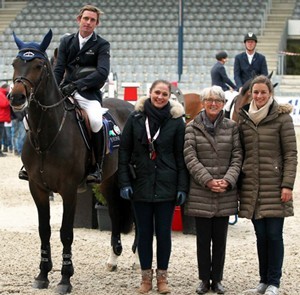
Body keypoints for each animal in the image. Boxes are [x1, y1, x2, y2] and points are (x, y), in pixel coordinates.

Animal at [8, 30, 135, 294]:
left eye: (38, 65)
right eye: (14, 63)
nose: (16, 97)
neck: (47, 133)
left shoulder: (69, 190)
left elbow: (66, 233)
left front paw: (65, 278)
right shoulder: (37, 188)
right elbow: (44, 230)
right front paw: (42, 274)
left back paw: (140, 260)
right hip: (108, 180)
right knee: (115, 211)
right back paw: (113, 259)